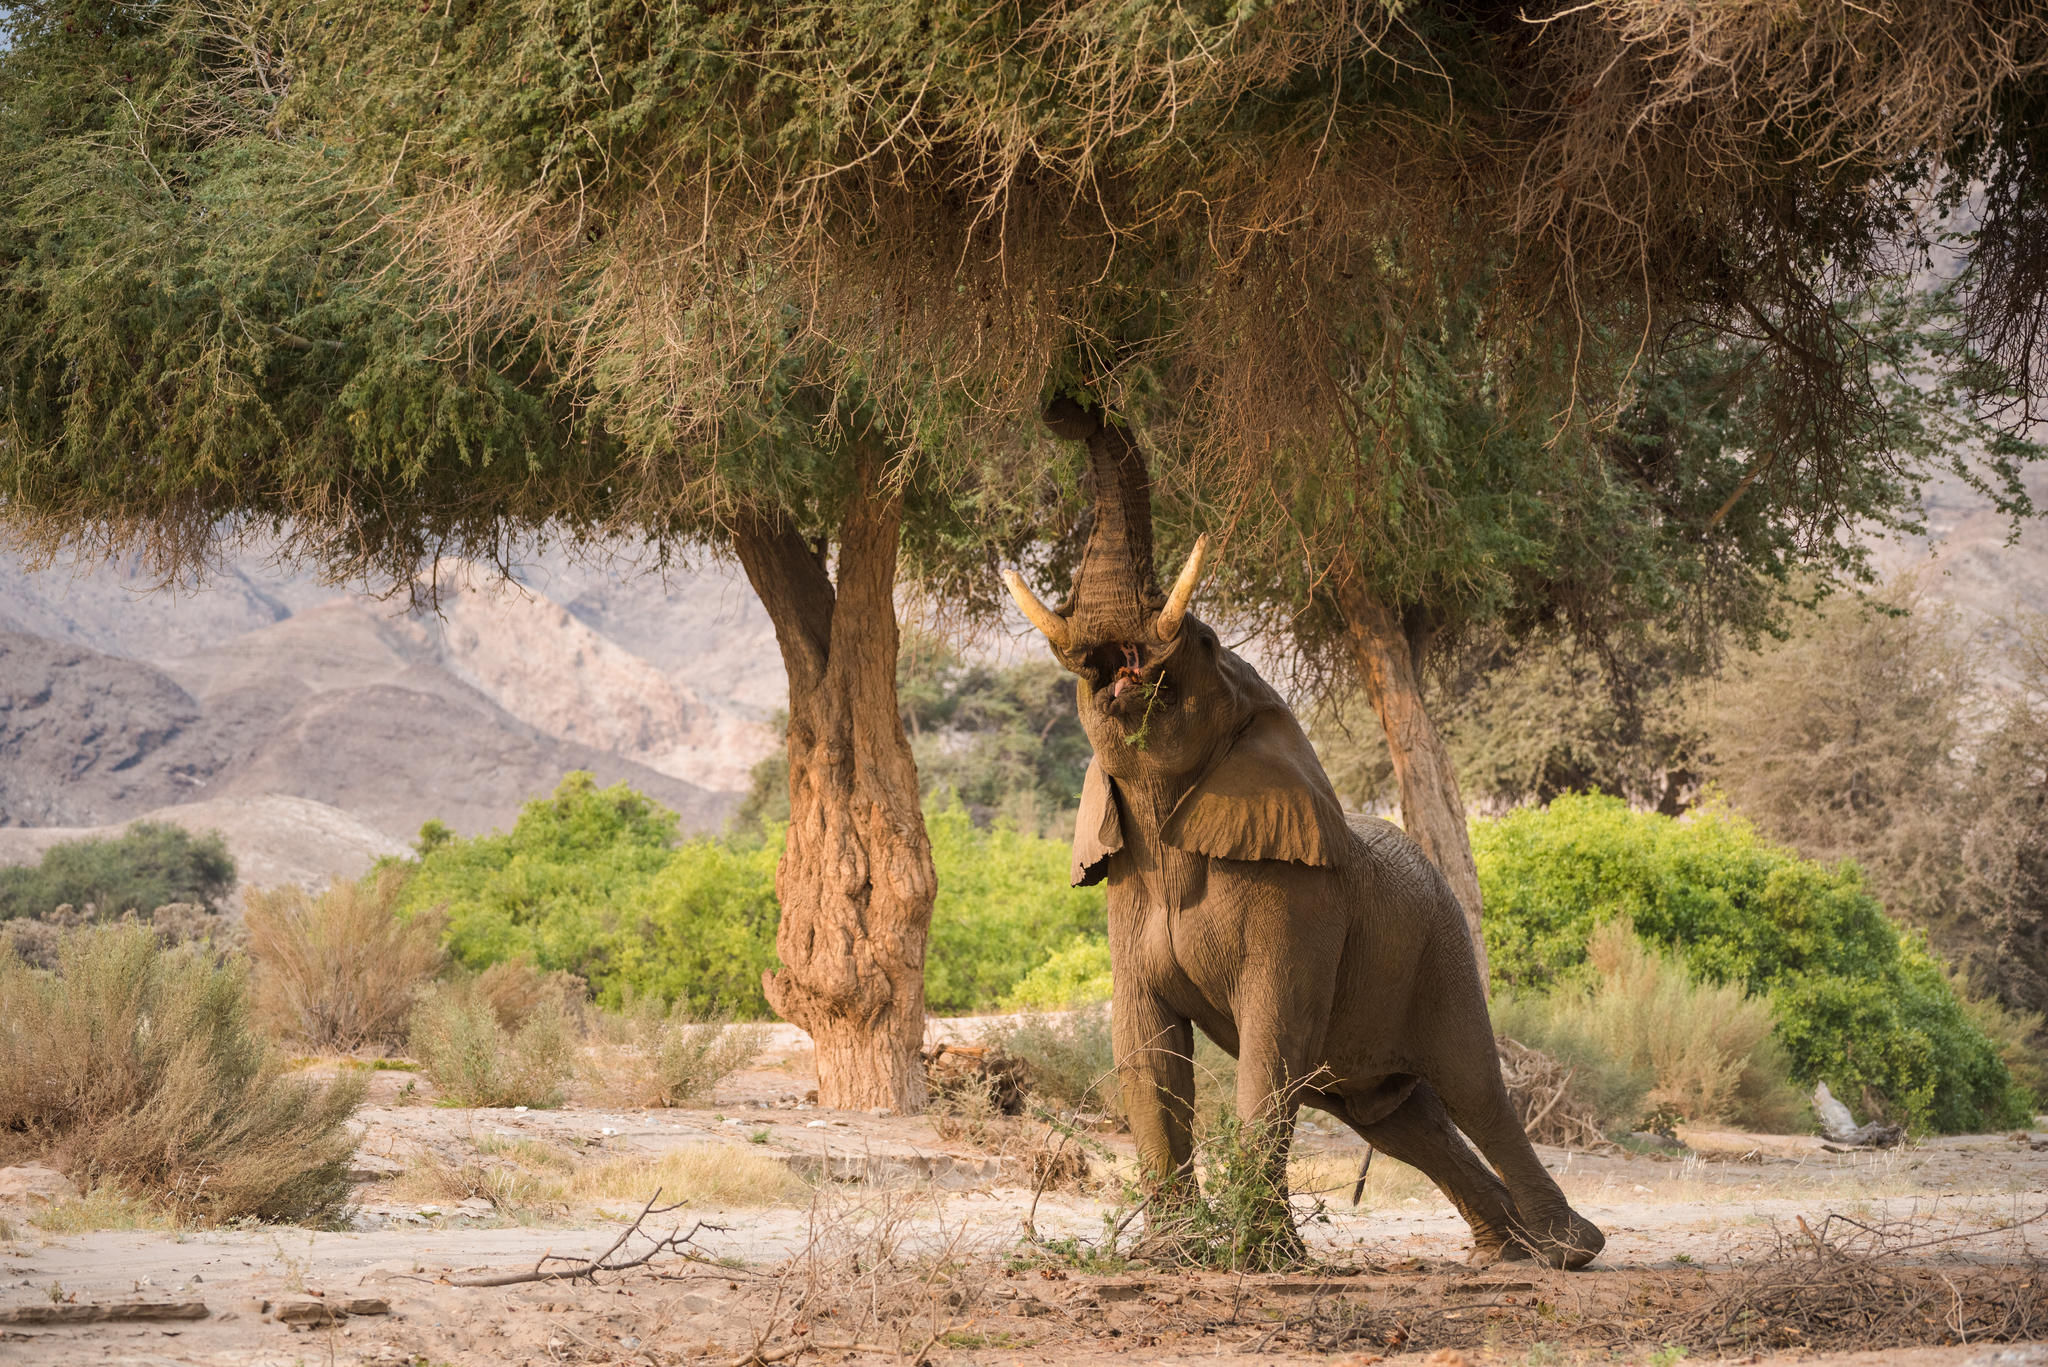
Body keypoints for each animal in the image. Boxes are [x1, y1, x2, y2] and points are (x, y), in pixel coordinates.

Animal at [1001, 400, 1605, 1270]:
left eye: (1206, 643)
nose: (1067, 405)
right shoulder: (1127, 891)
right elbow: (1147, 1050)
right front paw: (1174, 1256)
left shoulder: (1300, 900)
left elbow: (1270, 1042)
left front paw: (1260, 1261)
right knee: (1394, 1113)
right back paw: (1505, 1251)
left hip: (1443, 947)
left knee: (1473, 1087)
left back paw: (1566, 1251)